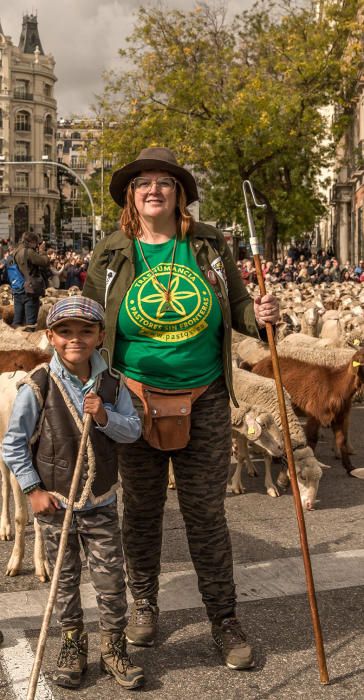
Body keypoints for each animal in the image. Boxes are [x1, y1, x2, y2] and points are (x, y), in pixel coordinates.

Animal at [253, 348, 364, 476]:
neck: (335, 386)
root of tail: (256, 365)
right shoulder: (315, 415)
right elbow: (312, 438)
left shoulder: (340, 417)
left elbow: (342, 441)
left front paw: (350, 468)